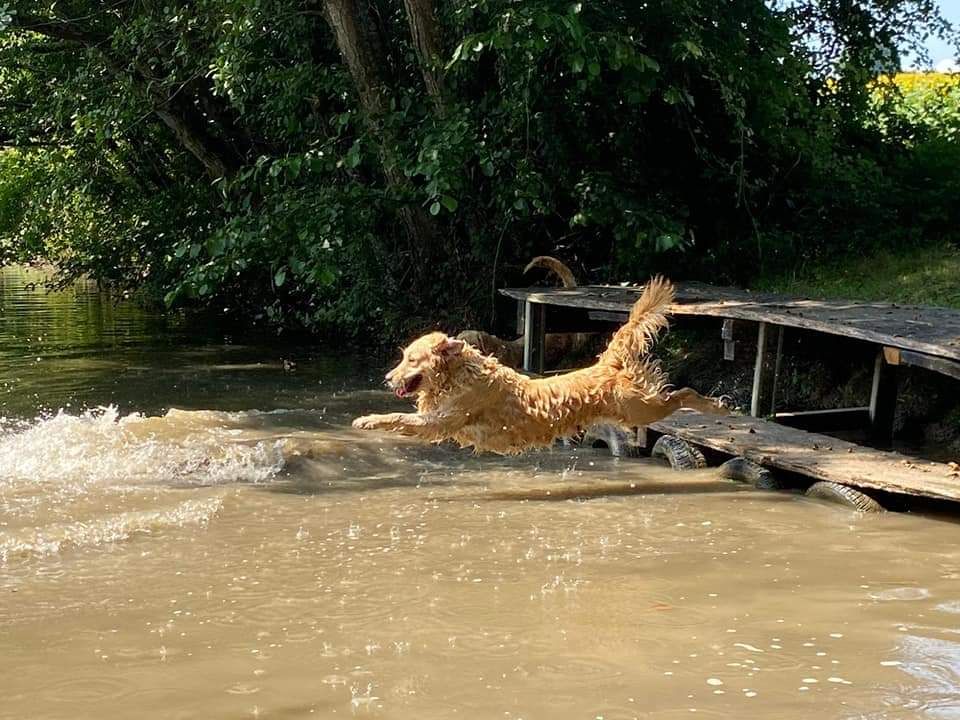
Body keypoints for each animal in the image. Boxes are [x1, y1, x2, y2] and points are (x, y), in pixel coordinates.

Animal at [354, 278, 728, 456]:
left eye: (411, 359)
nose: (387, 377)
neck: (459, 376)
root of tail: (607, 363)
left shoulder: (441, 420)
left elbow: (398, 417)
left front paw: (367, 420)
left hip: (641, 409)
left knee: (683, 393)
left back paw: (716, 405)